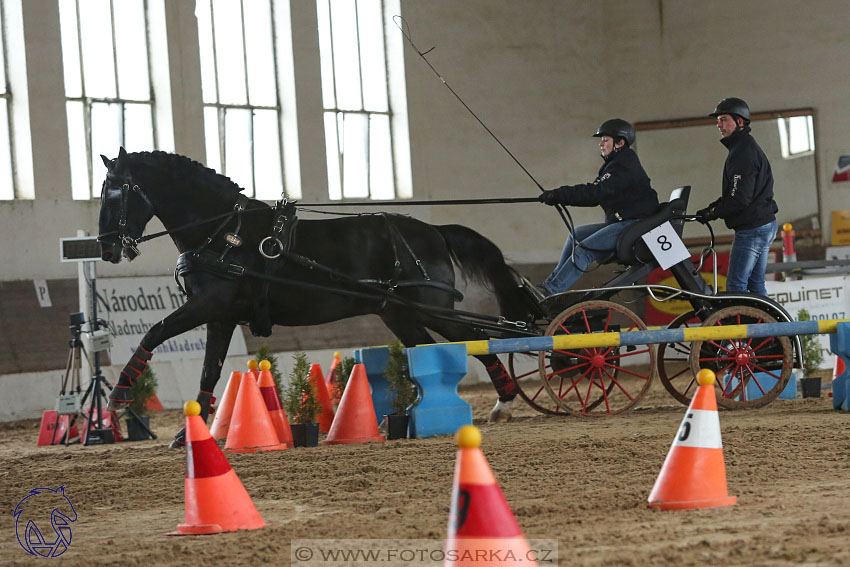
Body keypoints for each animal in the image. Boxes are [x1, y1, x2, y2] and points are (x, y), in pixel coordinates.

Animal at [97, 148, 536, 444]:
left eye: (117, 194)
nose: (107, 248)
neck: (224, 232)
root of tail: (434, 231)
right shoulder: (220, 316)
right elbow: (209, 370)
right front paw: (187, 433)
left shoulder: (207, 306)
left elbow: (154, 332)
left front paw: (119, 396)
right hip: (402, 314)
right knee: (432, 349)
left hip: (431, 308)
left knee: (478, 341)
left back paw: (503, 403)